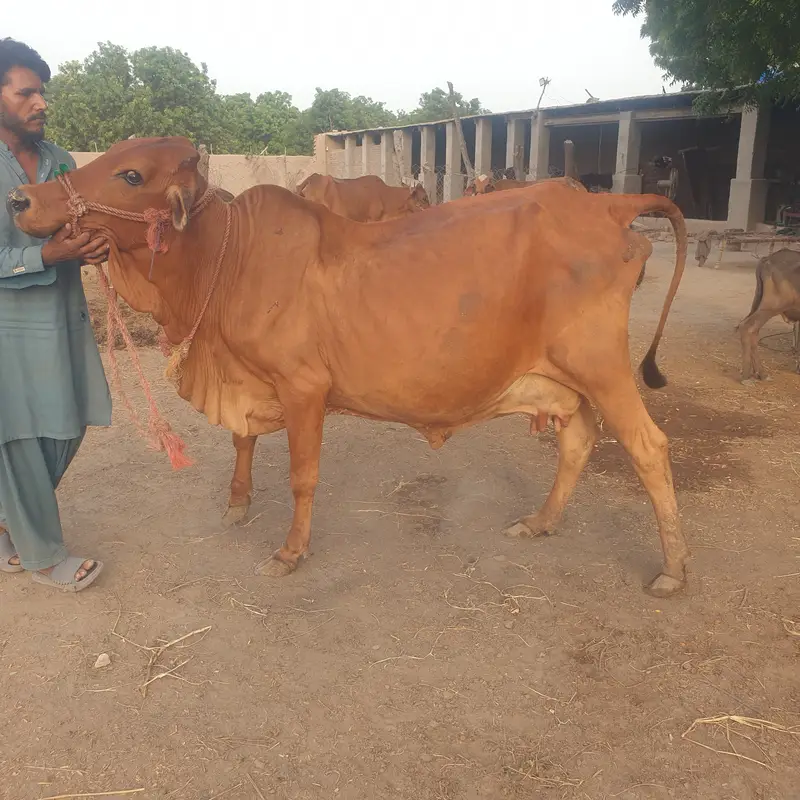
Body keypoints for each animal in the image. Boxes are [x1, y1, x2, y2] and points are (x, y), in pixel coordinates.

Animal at [738, 248, 800, 383]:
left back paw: (761, 374)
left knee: (753, 331)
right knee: (746, 326)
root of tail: (768, 259)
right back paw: (746, 377)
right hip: (772, 306)